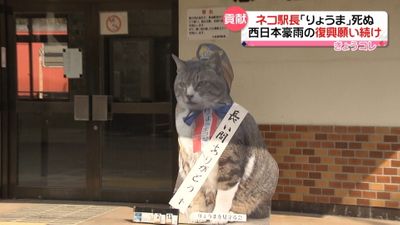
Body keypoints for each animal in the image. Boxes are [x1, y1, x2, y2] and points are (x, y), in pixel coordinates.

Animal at [172, 43, 278, 223]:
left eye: (201, 83)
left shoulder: (229, 159)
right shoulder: (188, 160)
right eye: (182, 84)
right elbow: (197, 191)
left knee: (256, 209)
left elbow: (224, 192)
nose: (189, 94)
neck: (200, 116)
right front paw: (200, 213)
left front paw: (218, 216)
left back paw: (232, 214)